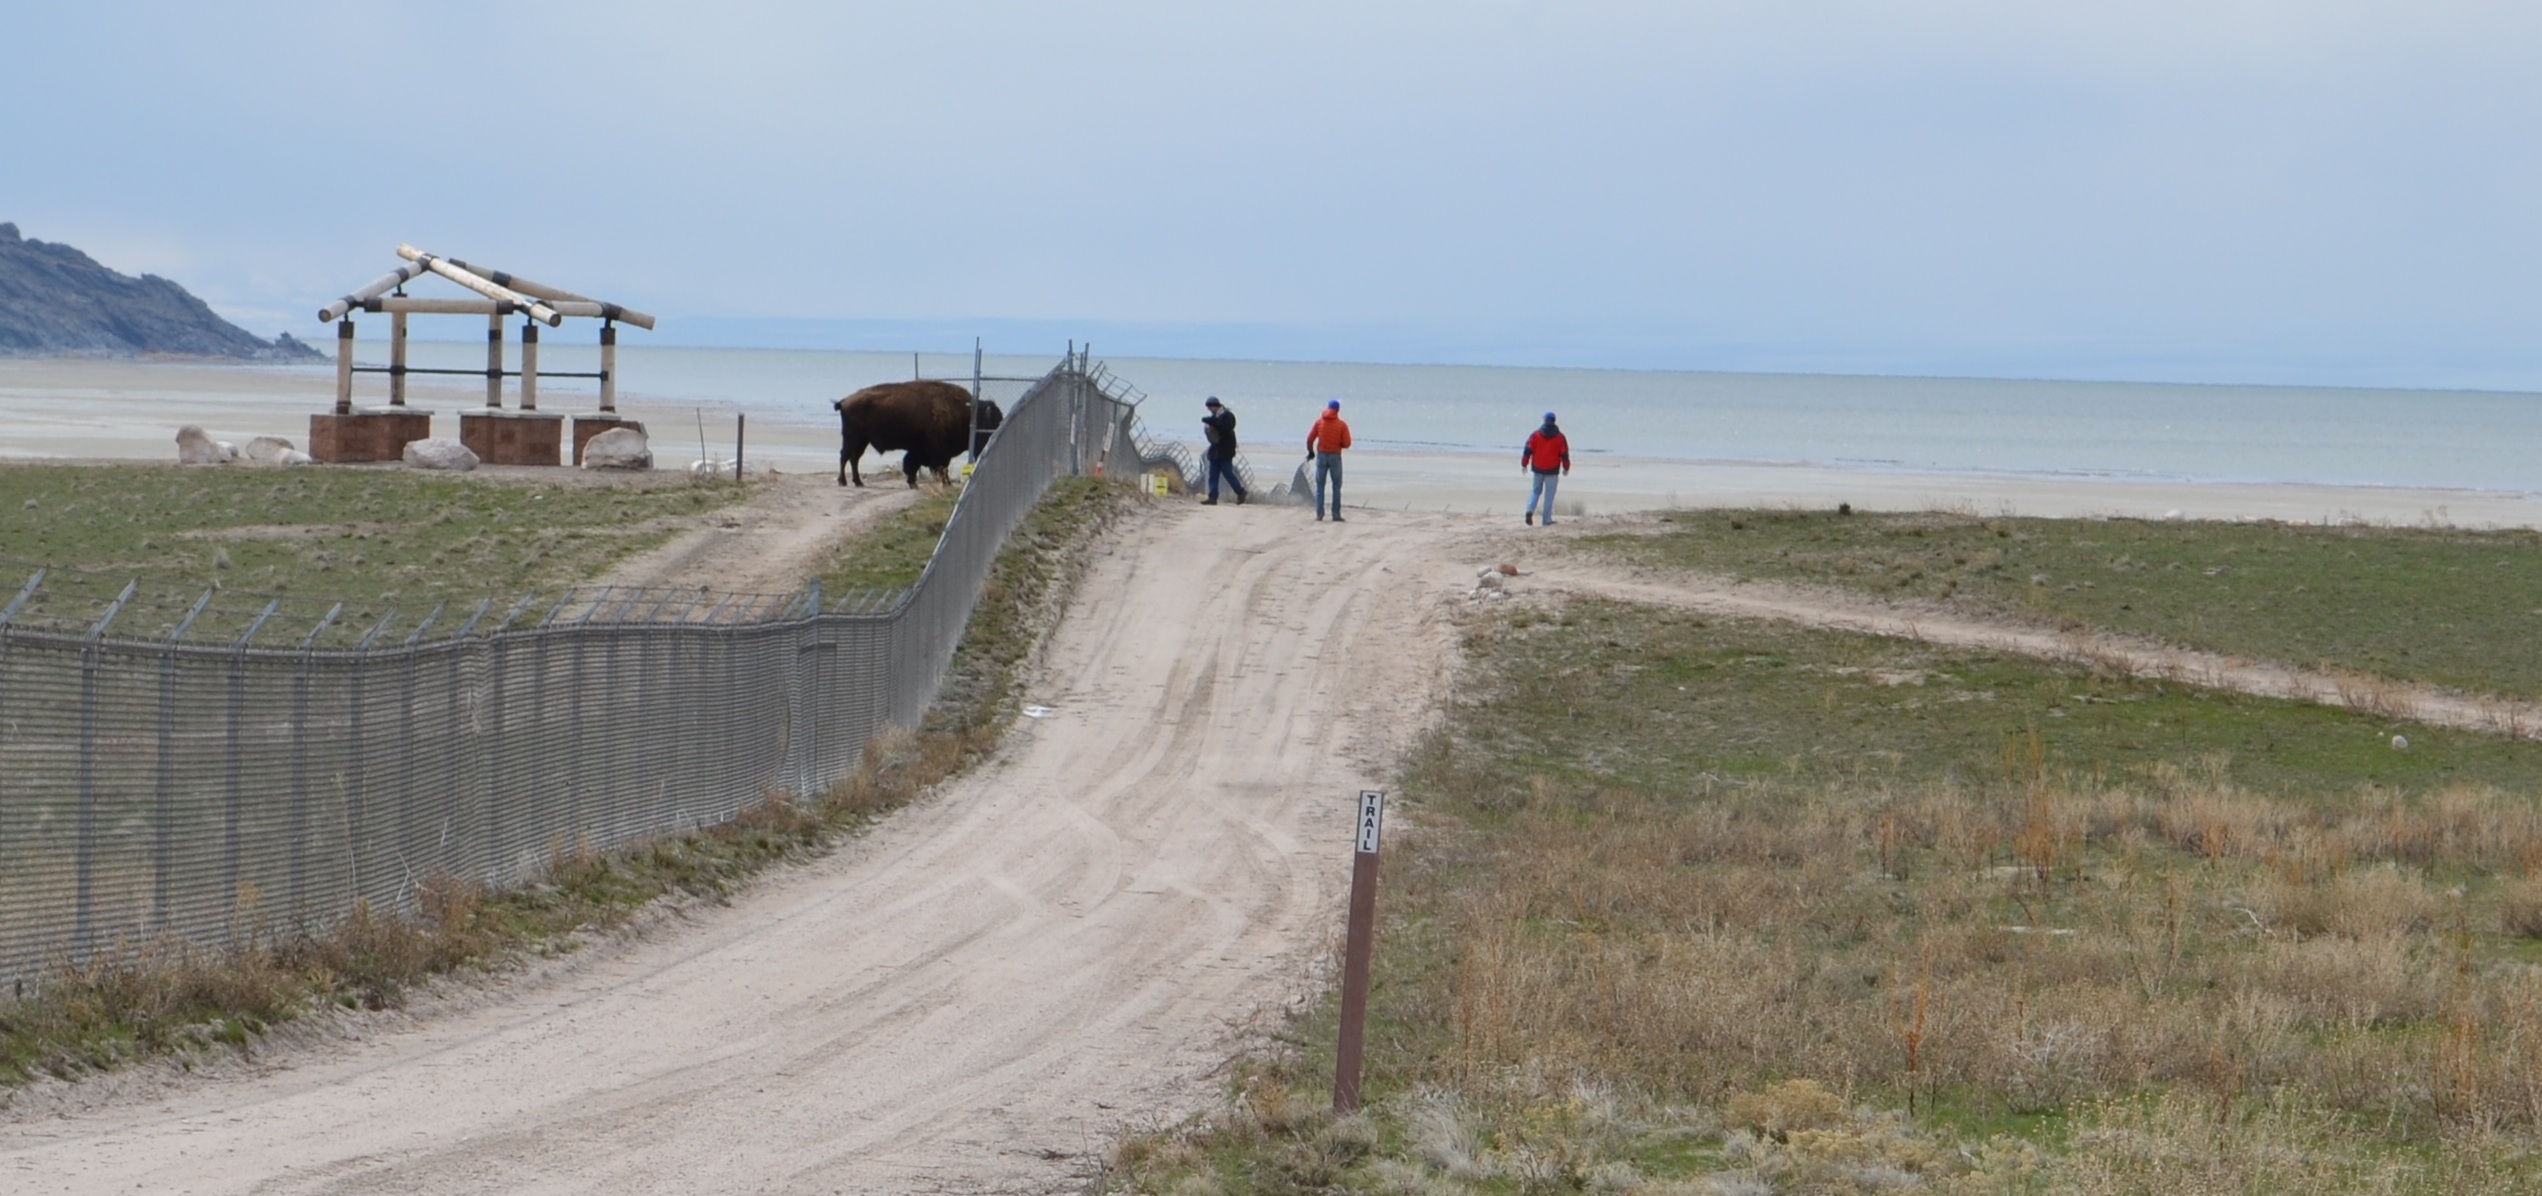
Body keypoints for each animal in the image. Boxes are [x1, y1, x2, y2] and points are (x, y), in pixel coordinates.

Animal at [833, 381, 1004, 487]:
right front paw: (945, 483)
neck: (966, 412)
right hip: (852, 438)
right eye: (989, 425)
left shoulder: (920, 449)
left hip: (862, 440)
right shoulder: (938, 451)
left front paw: (913, 483)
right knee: (845, 456)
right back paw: (843, 481)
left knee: (854, 458)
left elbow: (912, 463)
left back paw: (858, 482)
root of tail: (845, 401)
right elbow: (938, 466)